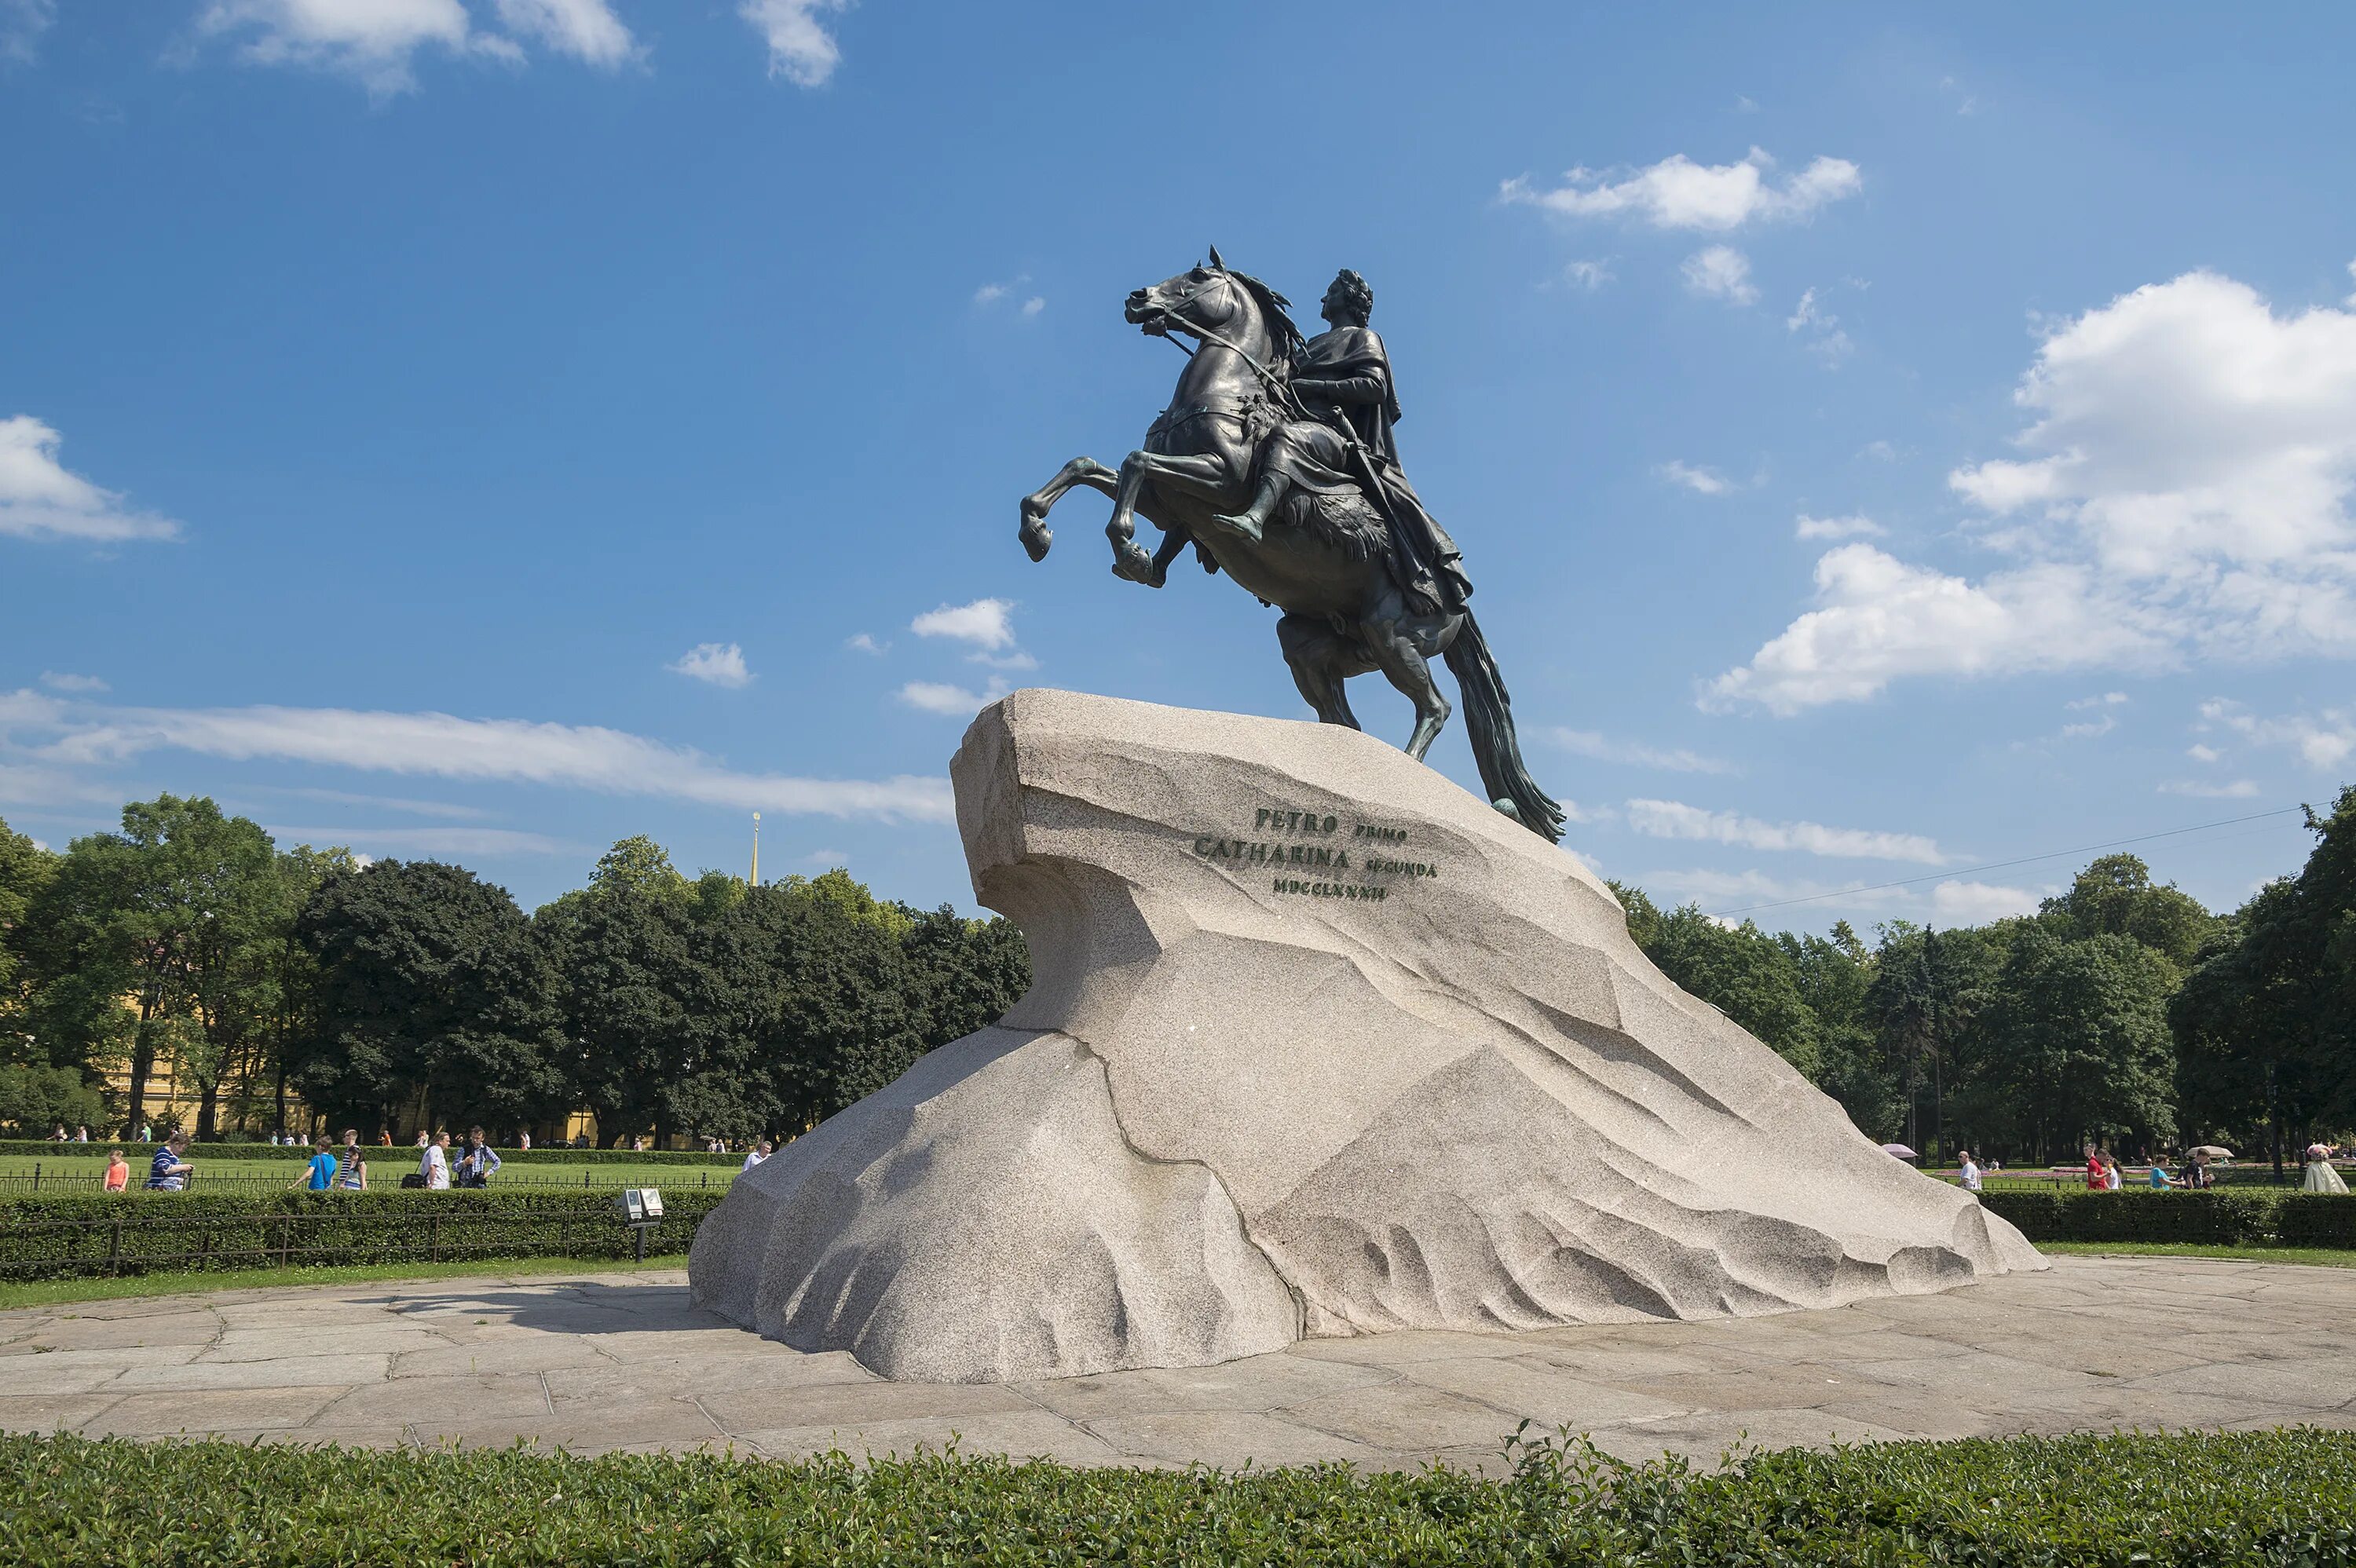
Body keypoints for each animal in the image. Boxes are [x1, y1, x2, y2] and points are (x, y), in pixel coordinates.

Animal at [1013, 250, 1564, 842]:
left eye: (1199, 277)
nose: (1138, 300)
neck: (1226, 394)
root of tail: (1458, 598)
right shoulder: (1170, 501)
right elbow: (1089, 466)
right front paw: (1040, 532)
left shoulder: (1217, 479)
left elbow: (1136, 463)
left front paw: (1127, 546)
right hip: (1313, 644)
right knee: (1346, 720)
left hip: (1392, 636)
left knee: (1434, 708)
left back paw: (1405, 781)